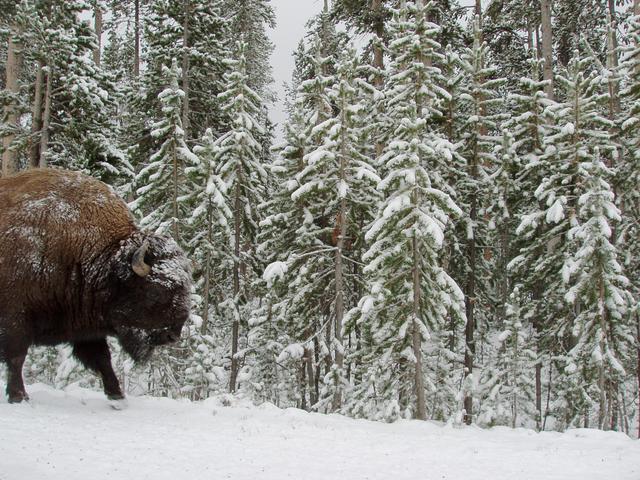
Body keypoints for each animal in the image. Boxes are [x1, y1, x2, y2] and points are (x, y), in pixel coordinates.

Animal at [0, 169, 191, 404]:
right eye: (155, 291)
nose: (172, 336)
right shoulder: (15, 318)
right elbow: (17, 357)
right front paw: (19, 396)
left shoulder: (86, 328)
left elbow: (102, 359)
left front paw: (117, 396)